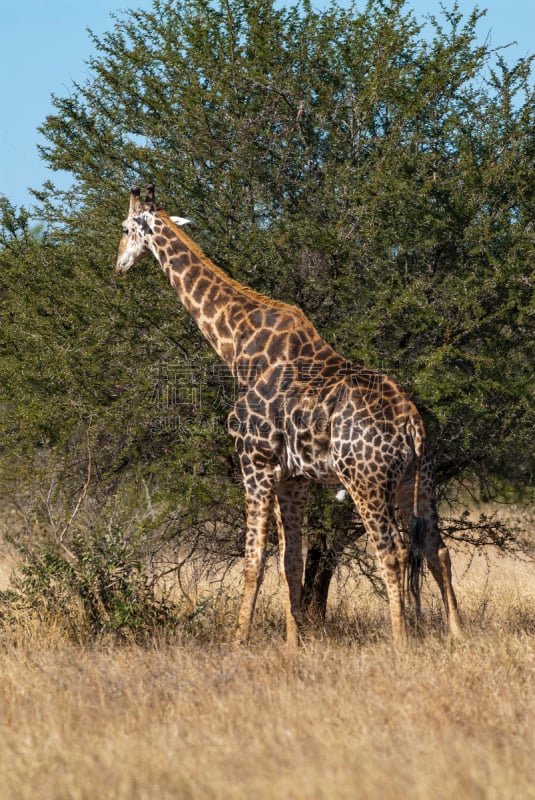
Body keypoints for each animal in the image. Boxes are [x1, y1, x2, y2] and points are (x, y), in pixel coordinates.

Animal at [115, 184, 462, 648]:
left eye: (124, 228)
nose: (118, 265)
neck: (237, 349)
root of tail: (412, 423)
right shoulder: (292, 478)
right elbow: (291, 562)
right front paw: (294, 643)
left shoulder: (254, 463)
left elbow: (253, 559)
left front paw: (238, 641)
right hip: (419, 480)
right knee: (435, 547)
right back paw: (458, 634)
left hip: (365, 480)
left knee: (393, 551)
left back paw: (401, 640)